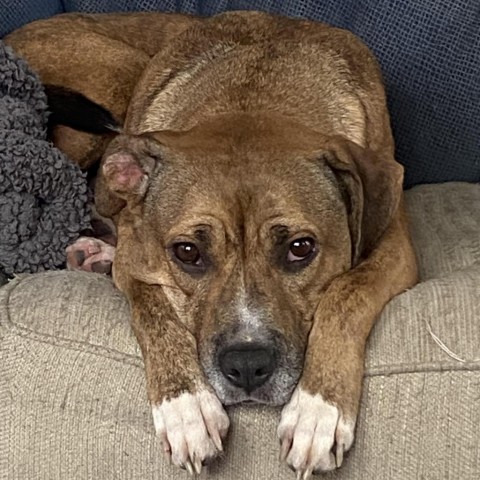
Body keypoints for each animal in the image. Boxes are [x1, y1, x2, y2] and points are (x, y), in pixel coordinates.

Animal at [6, 10, 416, 476]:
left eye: (301, 248)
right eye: (188, 252)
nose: (247, 366)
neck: (256, 95)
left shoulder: (394, 247)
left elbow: (347, 294)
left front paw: (318, 410)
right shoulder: (135, 254)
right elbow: (153, 312)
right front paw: (186, 409)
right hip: (117, 77)